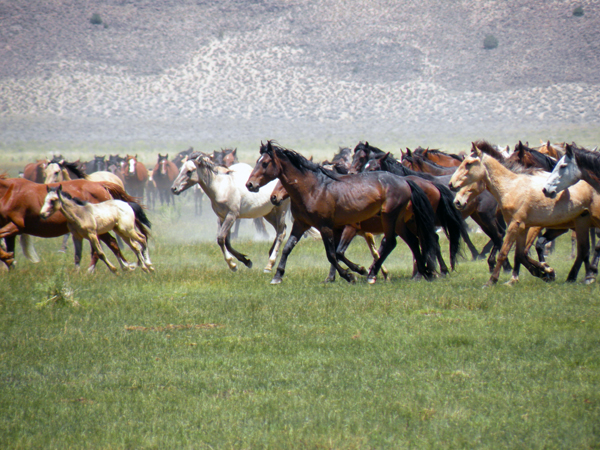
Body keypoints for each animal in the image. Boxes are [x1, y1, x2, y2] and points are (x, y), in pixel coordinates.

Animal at [0, 176, 135, 270]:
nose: (42, 214)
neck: (8, 194)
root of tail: (100, 185)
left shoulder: (16, 226)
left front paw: (7, 258)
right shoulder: (12, 232)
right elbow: (10, 249)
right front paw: (10, 263)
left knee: (109, 244)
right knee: (107, 246)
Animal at [246, 140, 438, 284]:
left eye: (264, 163)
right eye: (256, 162)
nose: (250, 185)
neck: (313, 189)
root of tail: (404, 181)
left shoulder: (327, 227)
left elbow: (332, 254)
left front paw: (351, 274)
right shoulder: (301, 225)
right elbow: (288, 248)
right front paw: (278, 275)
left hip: (390, 218)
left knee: (391, 242)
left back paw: (373, 275)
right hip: (399, 221)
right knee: (413, 241)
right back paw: (424, 273)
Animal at [450, 142, 600, 286]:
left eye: (468, 164)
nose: (452, 186)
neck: (512, 187)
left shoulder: (516, 225)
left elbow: (505, 253)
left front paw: (491, 281)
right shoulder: (523, 227)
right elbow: (520, 254)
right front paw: (546, 271)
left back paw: (588, 275)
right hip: (581, 223)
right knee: (583, 249)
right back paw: (579, 276)